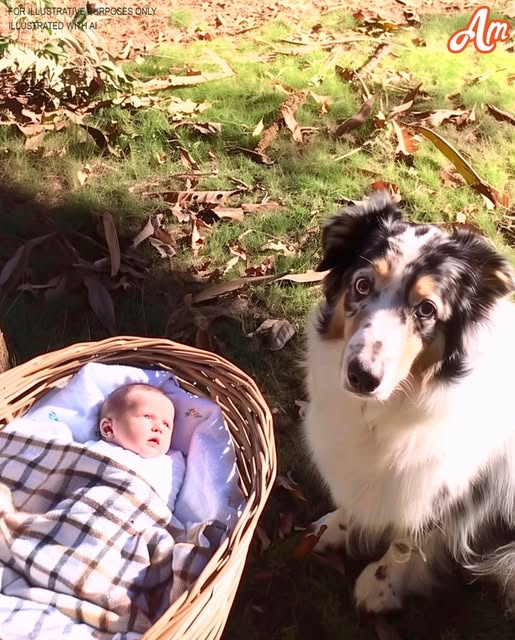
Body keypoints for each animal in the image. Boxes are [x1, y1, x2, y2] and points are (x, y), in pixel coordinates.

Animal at [304, 192, 515, 616]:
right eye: (362, 285)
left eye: (426, 309)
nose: (362, 376)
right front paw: (334, 528)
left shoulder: (443, 487)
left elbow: (411, 540)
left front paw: (379, 586)